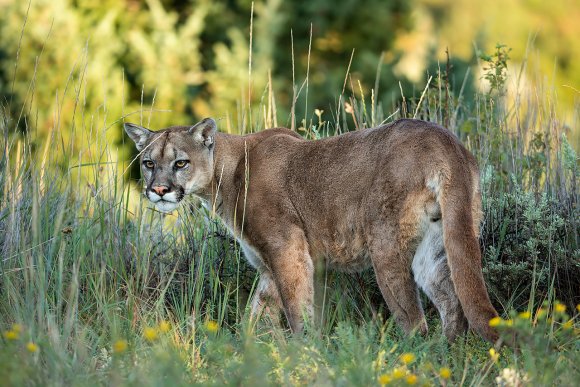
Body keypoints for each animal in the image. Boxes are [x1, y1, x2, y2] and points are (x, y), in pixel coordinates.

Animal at [125, 118, 498, 342]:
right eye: (148, 163)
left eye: (180, 162)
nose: (159, 190)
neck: (226, 175)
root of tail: (444, 139)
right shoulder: (267, 266)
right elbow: (256, 314)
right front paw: (248, 354)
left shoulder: (287, 250)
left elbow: (297, 310)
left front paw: (306, 353)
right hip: (437, 245)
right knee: (452, 302)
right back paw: (447, 352)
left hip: (385, 245)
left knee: (414, 320)